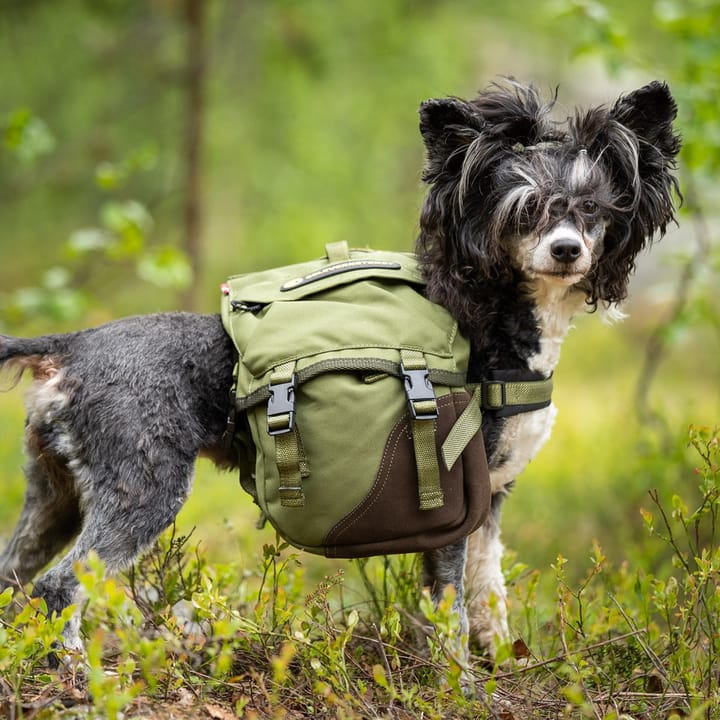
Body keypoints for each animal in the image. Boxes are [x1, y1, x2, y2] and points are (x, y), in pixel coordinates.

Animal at [0, 81, 676, 672]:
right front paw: (459, 683)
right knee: (60, 588)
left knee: (15, 577)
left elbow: (489, 596)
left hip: (55, 497)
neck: (496, 328)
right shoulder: (453, 505)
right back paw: (78, 669)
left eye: (591, 209)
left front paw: (507, 665)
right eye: (524, 209)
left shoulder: (489, 505)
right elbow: (452, 609)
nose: (566, 250)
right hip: (143, 488)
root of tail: (71, 347)